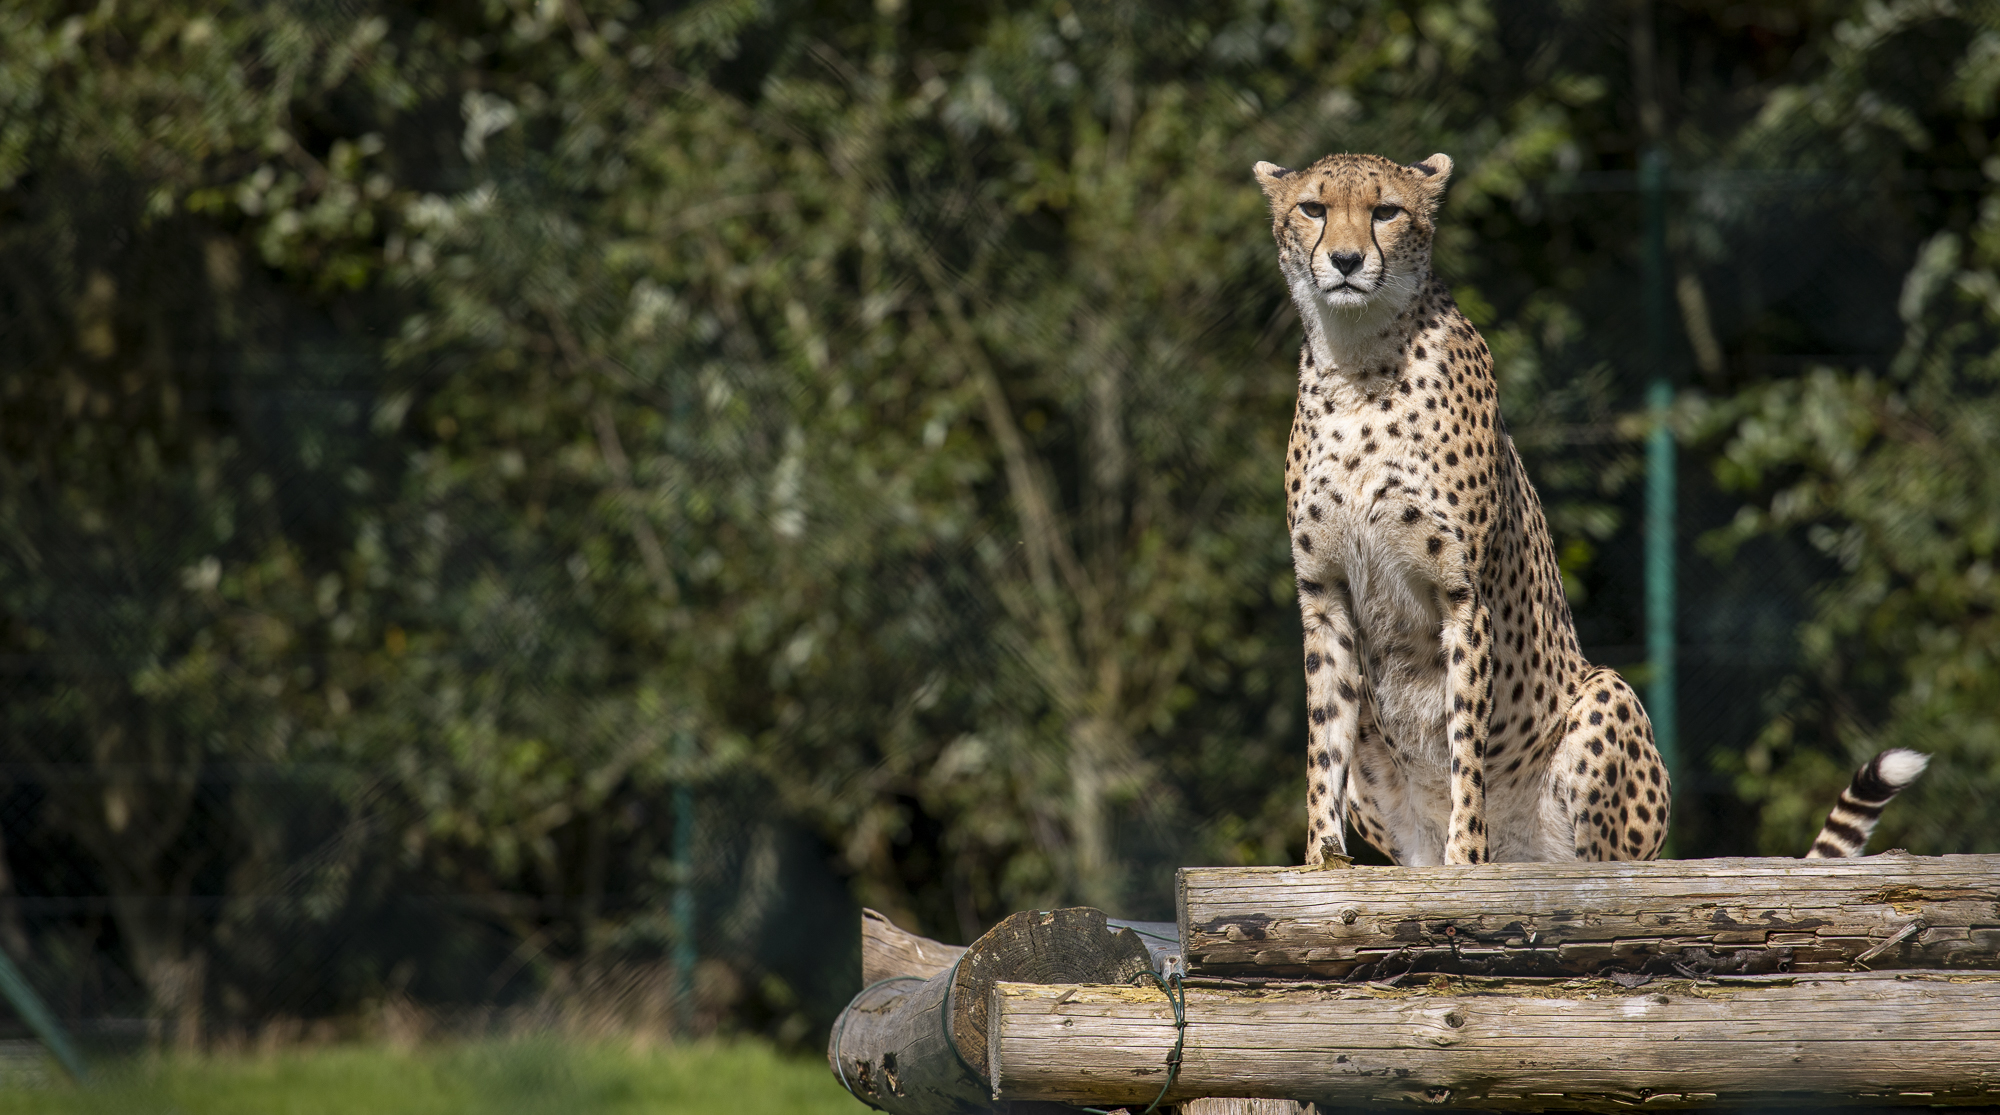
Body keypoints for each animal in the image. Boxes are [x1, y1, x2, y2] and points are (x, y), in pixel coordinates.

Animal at [1254, 150, 1926, 866]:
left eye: (1386, 211)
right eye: (1313, 208)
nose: (1347, 260)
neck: (1359, 363)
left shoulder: (1463, 594)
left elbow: (1465, 744)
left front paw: (1466, 861)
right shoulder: (1324, 593)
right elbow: (1324, 737)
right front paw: (1321, 857)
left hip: (1606, 699)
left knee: (1602, 862)